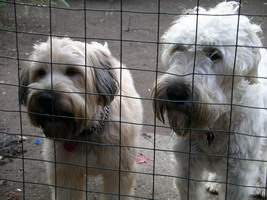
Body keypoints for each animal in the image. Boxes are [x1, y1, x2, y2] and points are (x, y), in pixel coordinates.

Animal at [18, 36, 143, 199]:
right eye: (41, 72)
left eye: (72, 71)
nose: (45, 98)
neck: (88, 131)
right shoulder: (65, 173)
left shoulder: (118, 173)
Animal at [153, 1, 267, 200]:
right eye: (178, 48)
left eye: (215, 54)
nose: (176, 92)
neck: (214, 124)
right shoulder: (186, 165)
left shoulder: (238, 176)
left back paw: (261, 184)